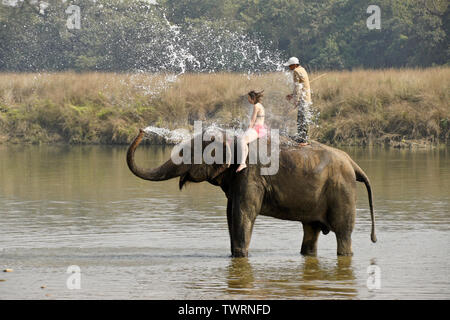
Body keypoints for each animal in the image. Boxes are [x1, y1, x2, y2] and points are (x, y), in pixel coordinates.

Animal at [126, 128, 376, 258]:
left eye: (187, 153)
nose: (141, 130)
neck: (233, 138)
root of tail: (354, 164)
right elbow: (230, 214)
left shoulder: (250, 175)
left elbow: (243, 214)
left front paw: (240, 256)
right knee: (311, 231)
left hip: (342, 191)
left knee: (343, 234)